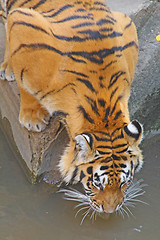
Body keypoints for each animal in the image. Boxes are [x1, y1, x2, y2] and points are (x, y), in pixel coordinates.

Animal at [0, 0, 142, 214]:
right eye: (97, 184)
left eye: (124, 183)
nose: (110, 211)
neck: (103, 110)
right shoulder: (22, 23)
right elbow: (23, 81)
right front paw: (32, 117)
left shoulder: (127, 25)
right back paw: (7, 67)